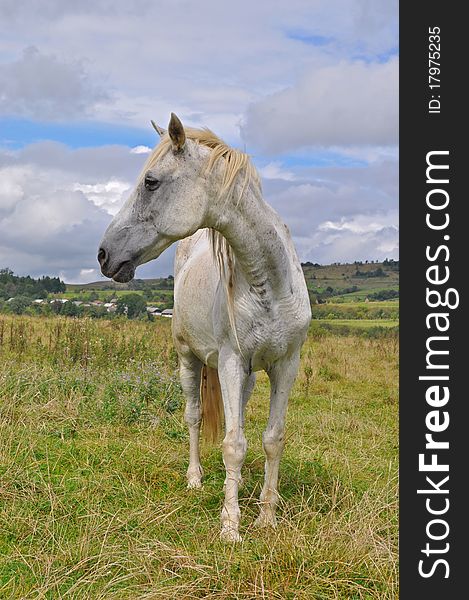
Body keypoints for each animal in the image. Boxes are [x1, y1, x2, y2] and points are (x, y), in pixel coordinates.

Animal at [98, 113, 310, 544]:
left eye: (151, 182)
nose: (103, 254)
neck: (271, 284)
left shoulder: (286, 364)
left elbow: (271, 439)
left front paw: (266, 516)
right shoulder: (229, 361)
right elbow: (233, 444)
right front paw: (230, 525)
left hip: (247, 374)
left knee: (237, 416)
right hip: (189, 360)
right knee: (194, 416)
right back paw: (194, 478)